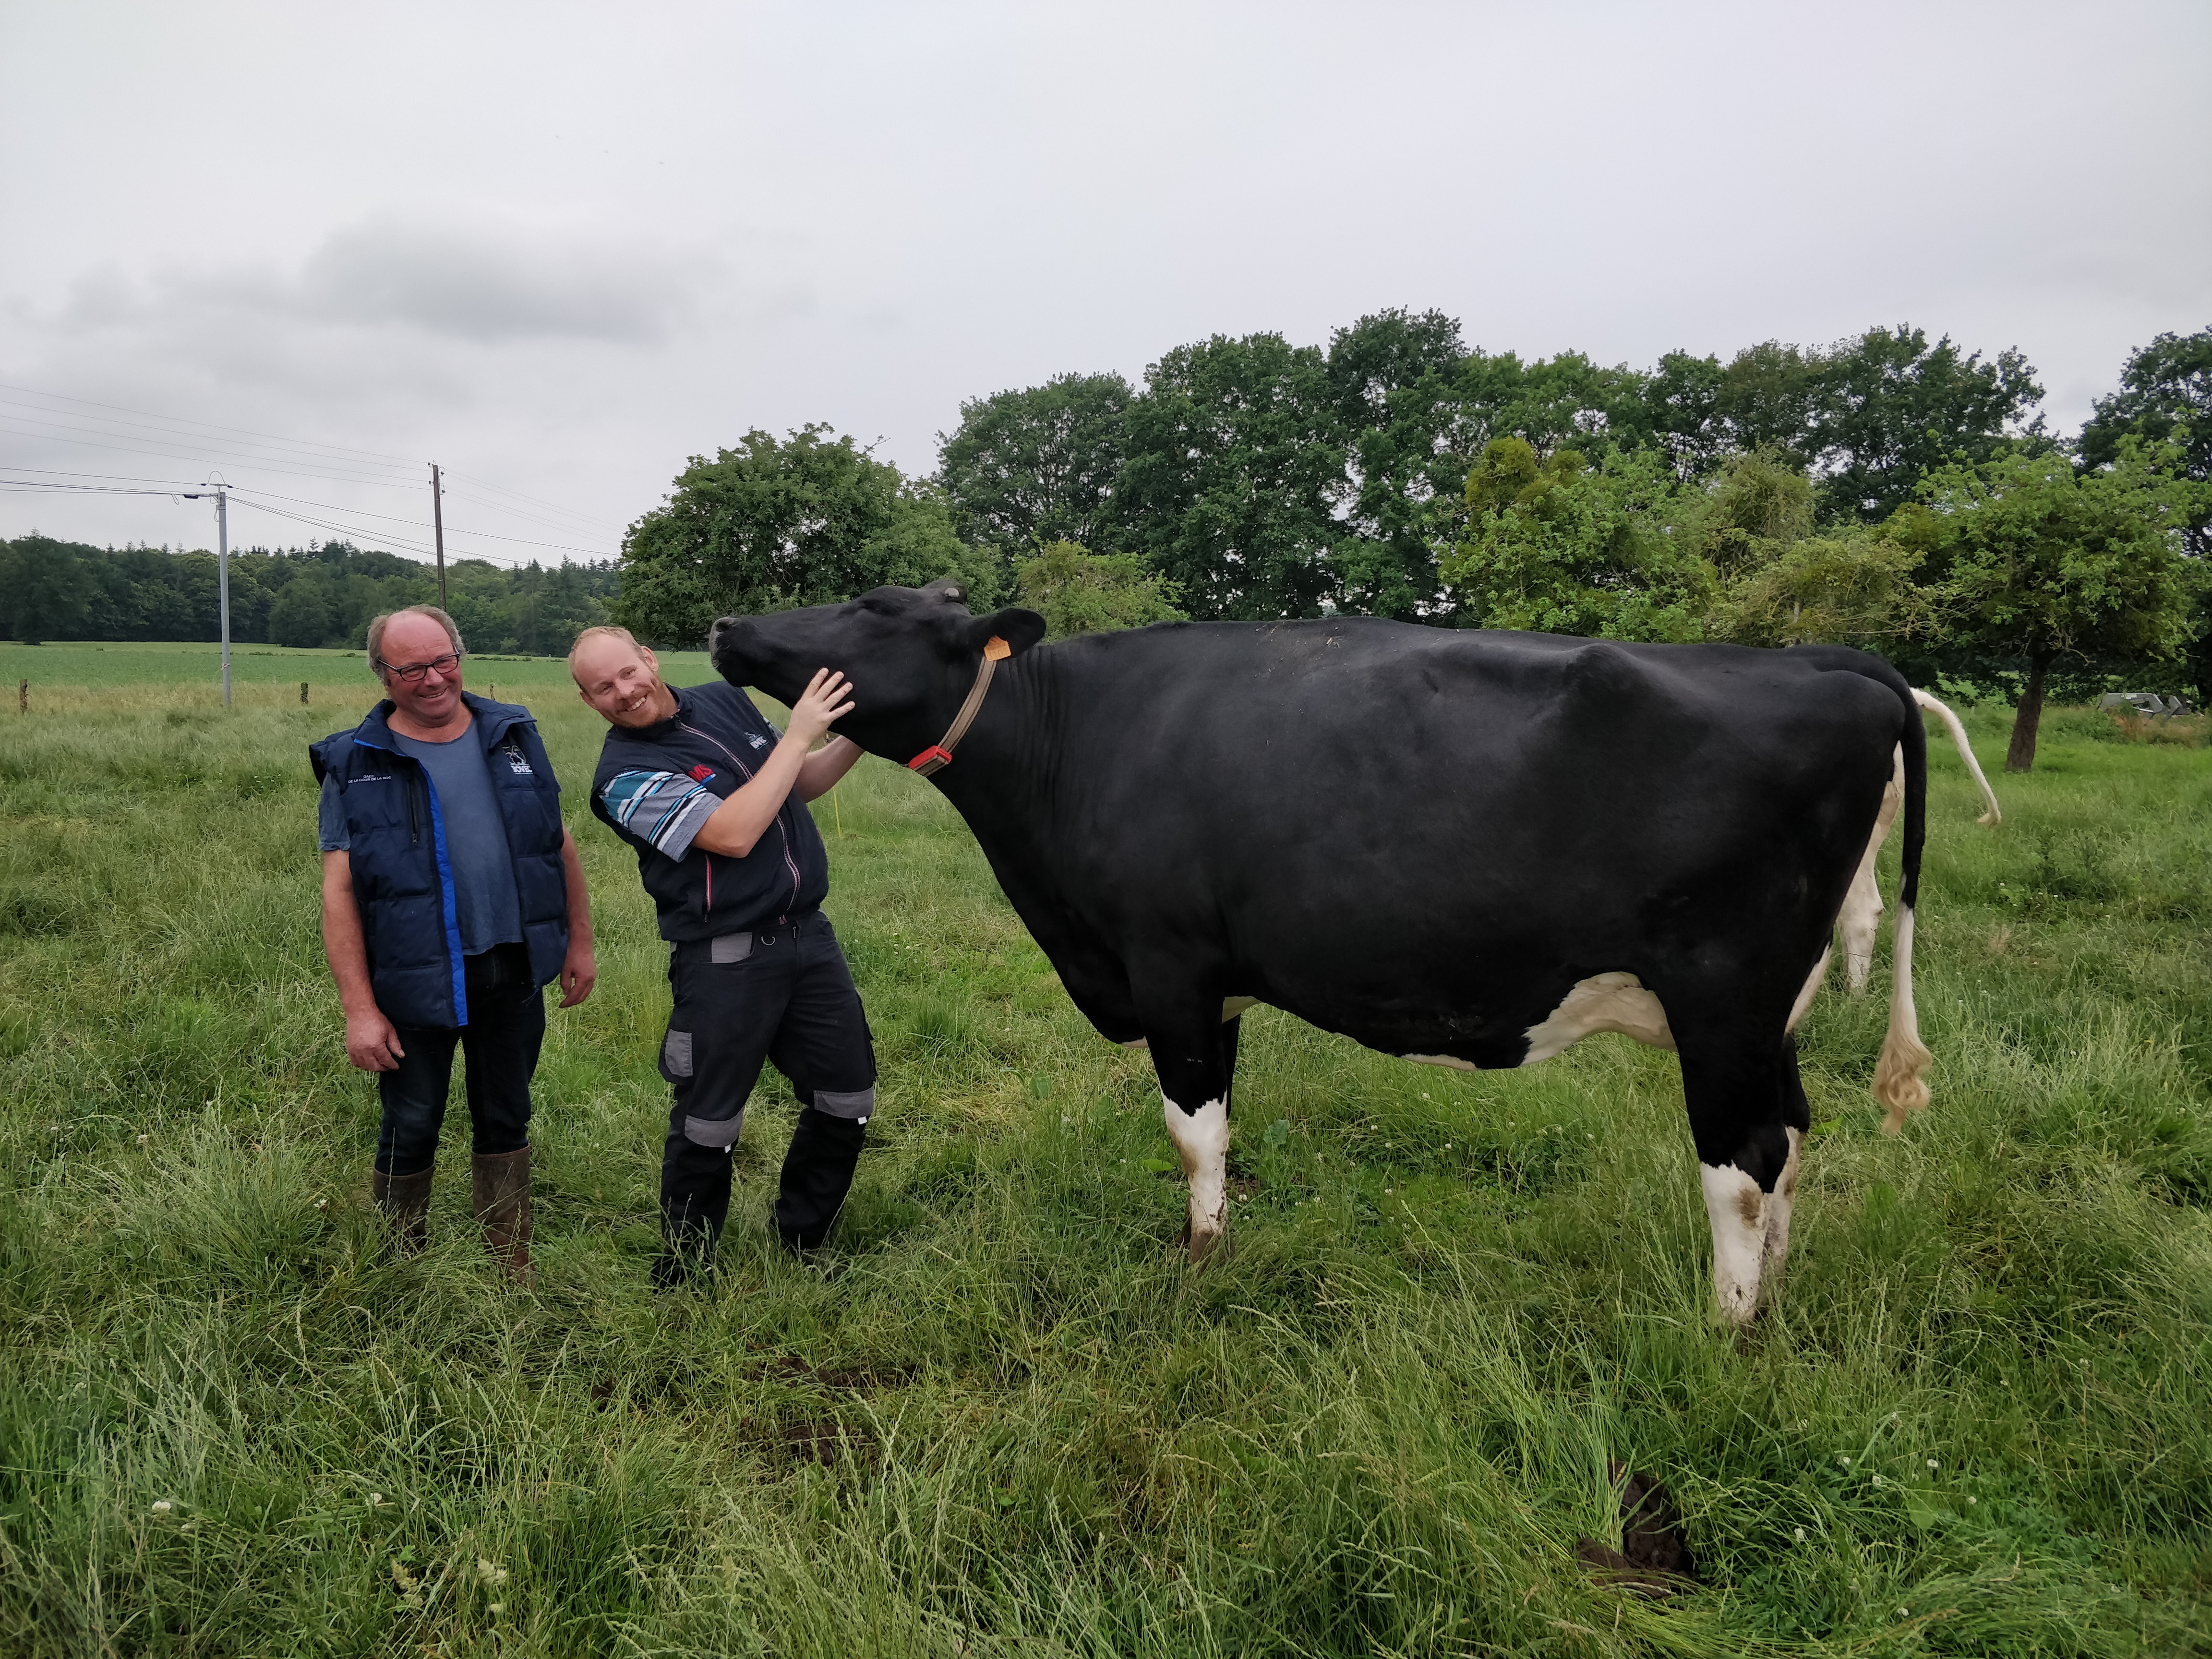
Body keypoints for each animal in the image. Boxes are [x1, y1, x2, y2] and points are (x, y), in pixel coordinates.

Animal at [708, 584, 1955, 1327]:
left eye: (877, 608)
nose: (726, 628)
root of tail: (1837, 665)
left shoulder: (1166, 964)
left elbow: (1192, 1129)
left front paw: (1198, 1264)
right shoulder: (1216, 985)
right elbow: (1222, 1122)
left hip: (1722, 997)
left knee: (1742, 1162)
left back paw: (1726, 1325)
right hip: (1772, 1010)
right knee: (1791, 1140)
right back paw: (1773, 1299)